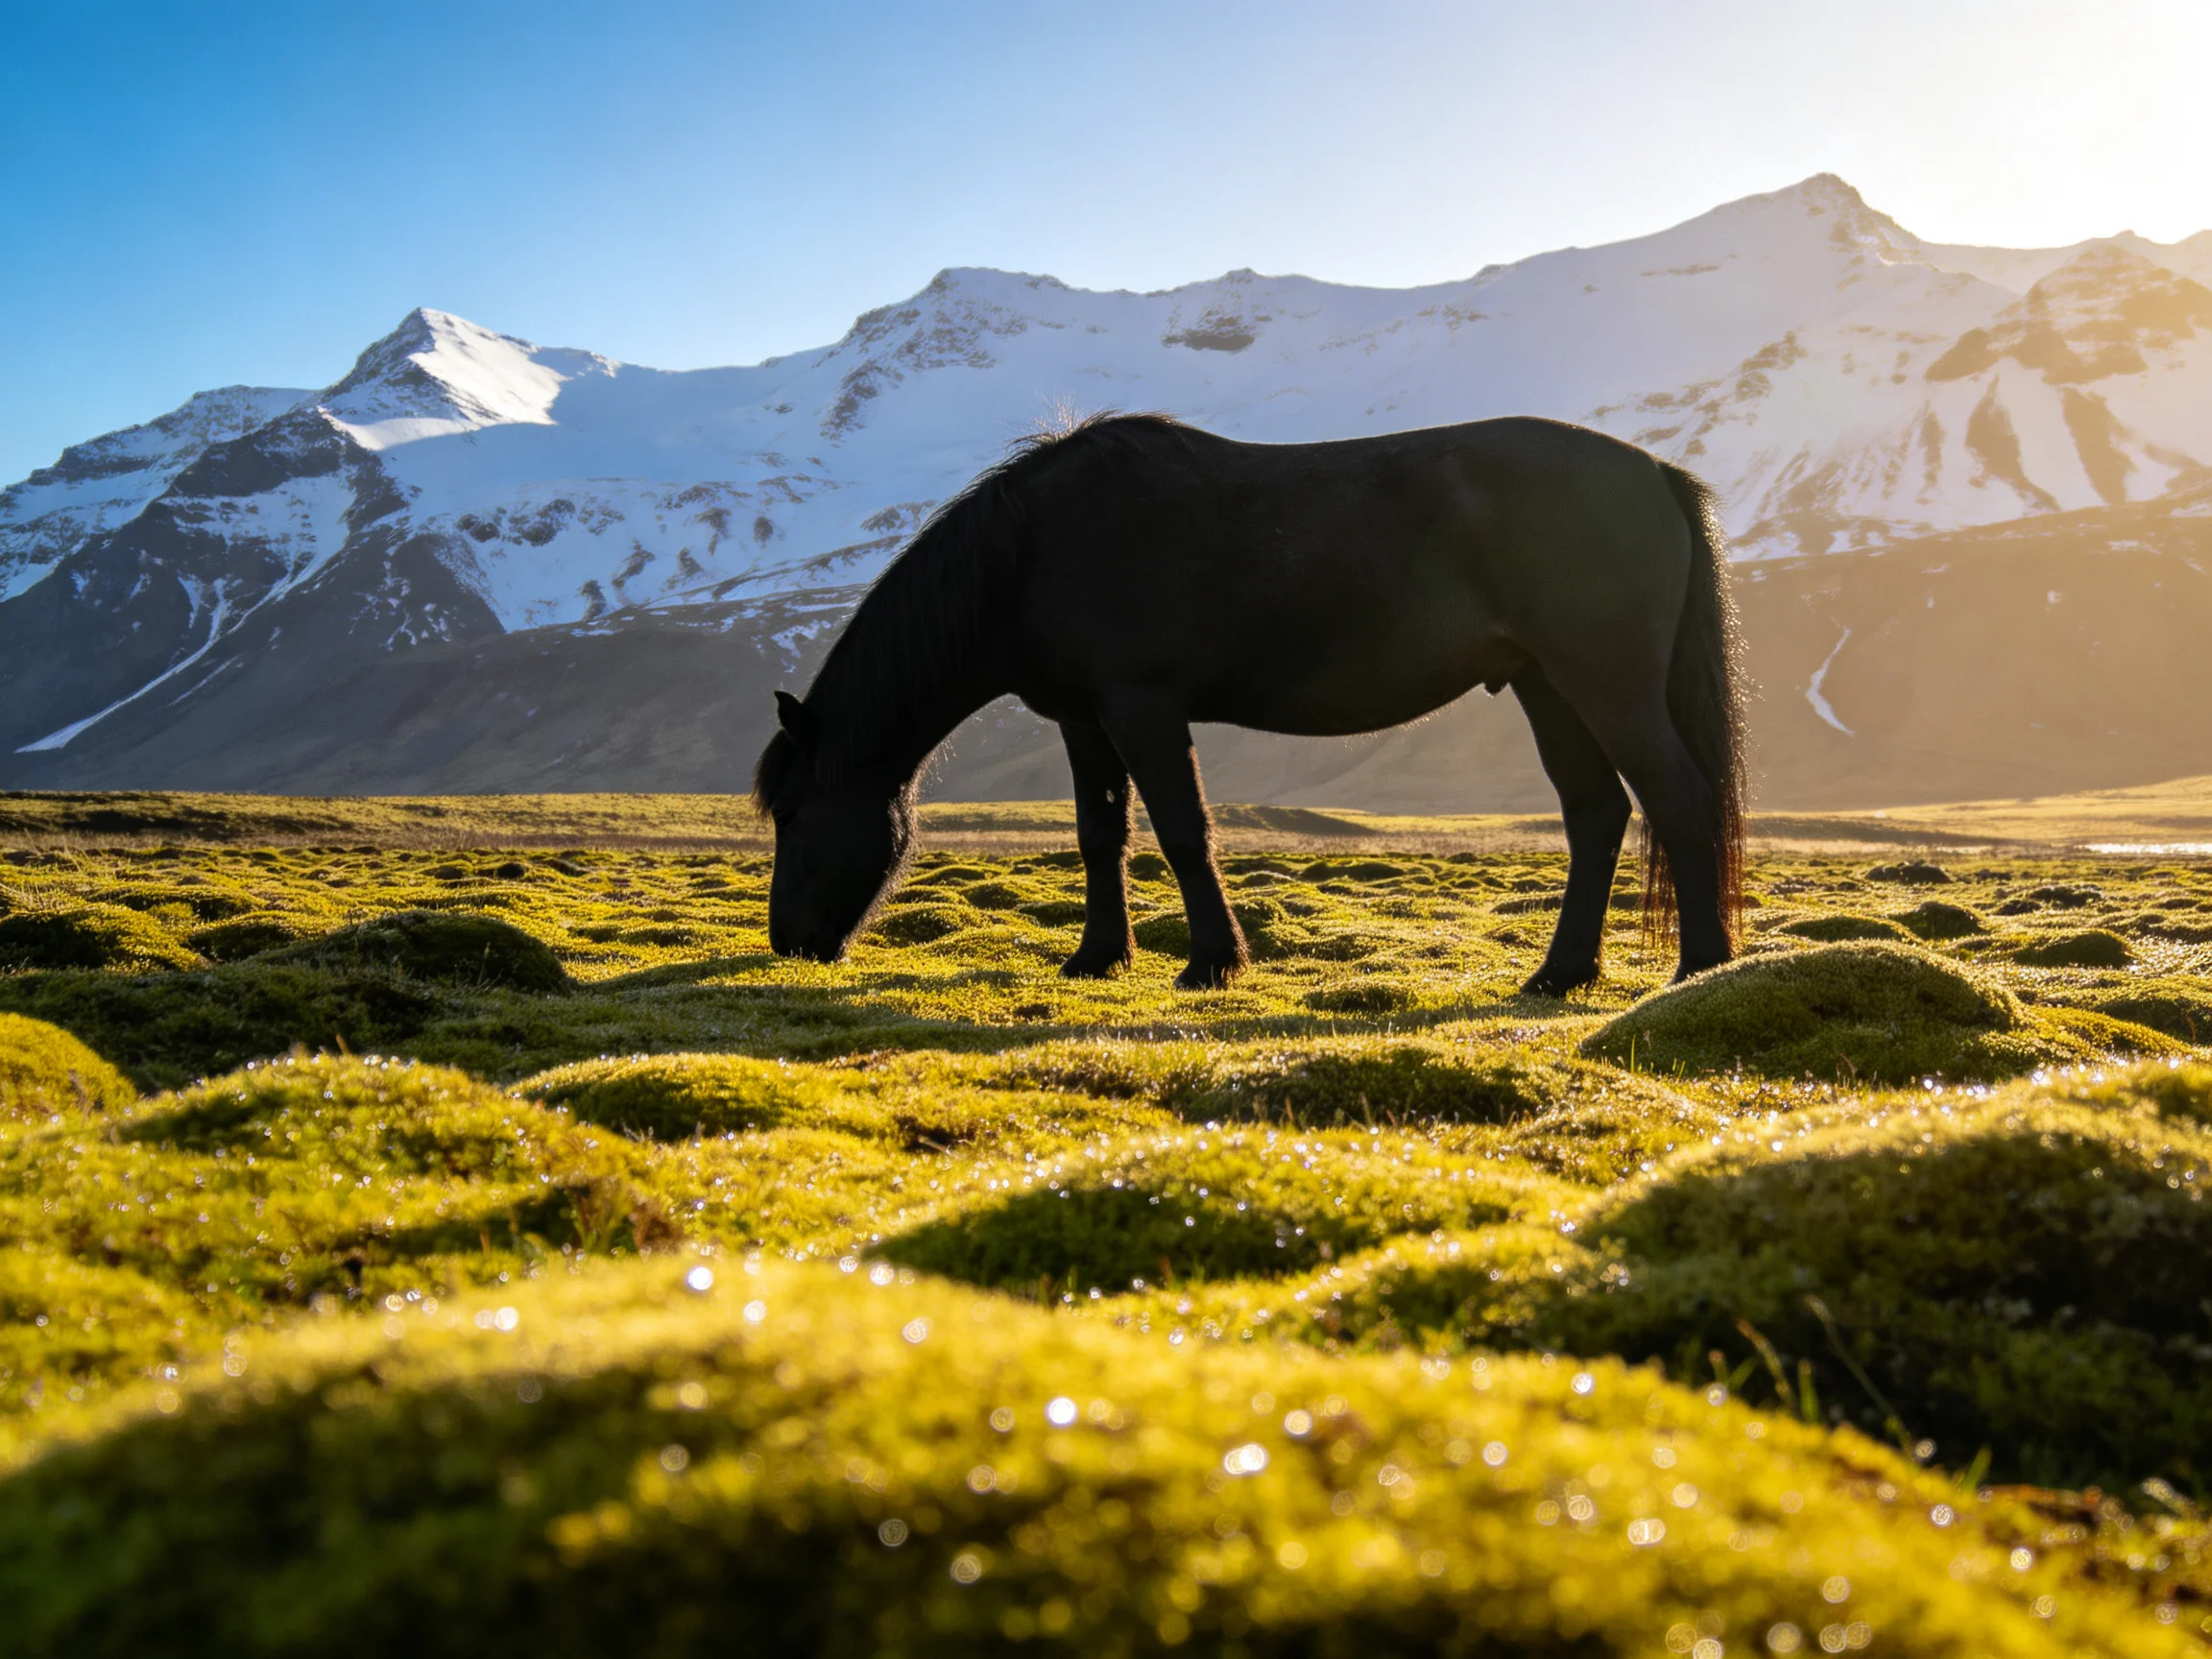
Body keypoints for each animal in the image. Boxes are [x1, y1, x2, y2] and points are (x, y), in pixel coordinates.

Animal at [753, 412, 1746, 993]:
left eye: (793, 812)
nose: (788, 942)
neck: (1028, 552)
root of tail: (1653, 470)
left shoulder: (1143, 710)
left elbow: (1183, 831)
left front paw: (1211, 961)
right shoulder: (1084, 721)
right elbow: (1100, 834)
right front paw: (1097, 957)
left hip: (1604, 680)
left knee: (1676, 798)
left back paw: (1699, 966)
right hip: (1547, 685)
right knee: (1597, 813)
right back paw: (1561, 973)